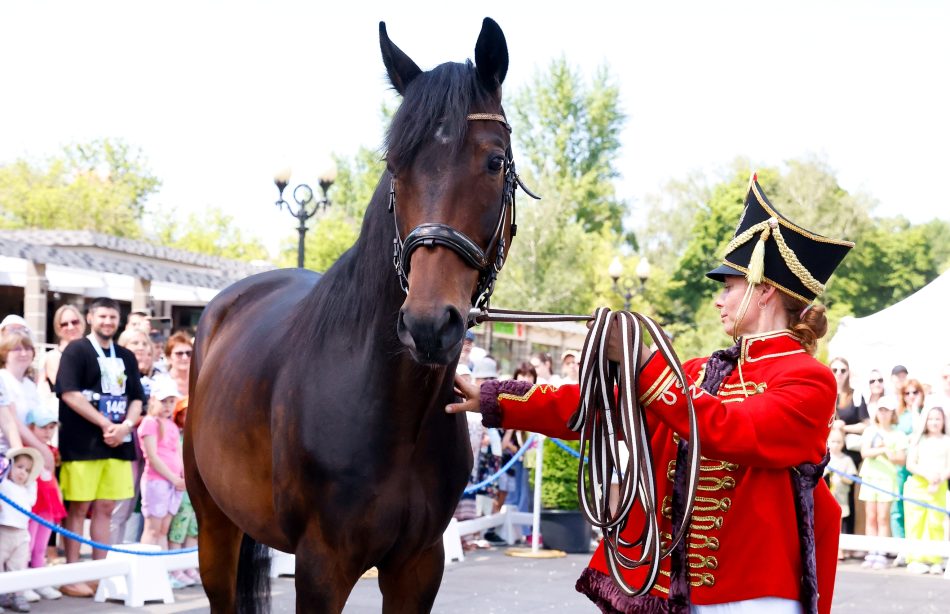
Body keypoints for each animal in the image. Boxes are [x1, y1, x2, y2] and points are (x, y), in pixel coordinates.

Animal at [184, 16, 528, 612]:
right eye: (395, 165)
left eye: (494, 161)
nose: (428, 325)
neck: (388, 402)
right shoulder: (322, 567)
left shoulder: (418, 566)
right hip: (215, 525)